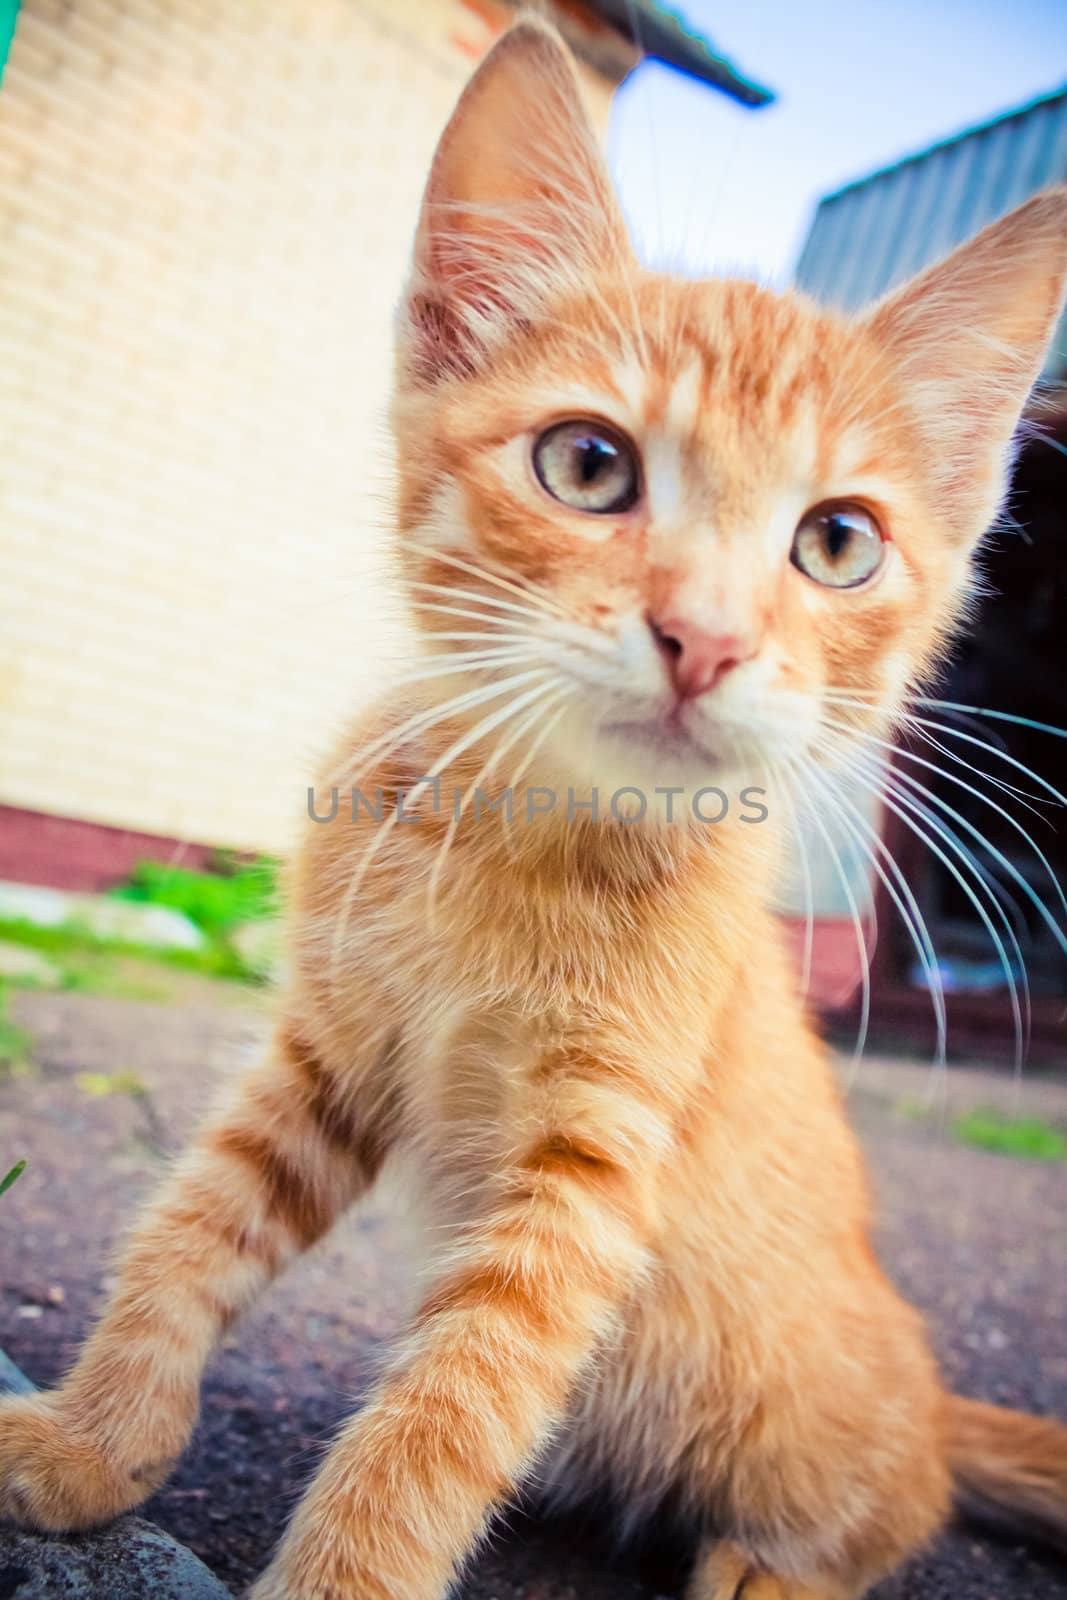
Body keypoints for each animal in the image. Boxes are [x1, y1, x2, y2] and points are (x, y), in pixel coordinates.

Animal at [2, 15, 1067, 1600]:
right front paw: (93, 1438)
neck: (523, 835)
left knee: (902, 1495)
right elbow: (191, 1229)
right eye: (586, 462)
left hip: (818, 1417)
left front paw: (339, 1574)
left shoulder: (583, 1182)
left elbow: (443, 1419)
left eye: (835, 542)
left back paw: (778, 1563)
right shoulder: (322, 1055)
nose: (704, 638)